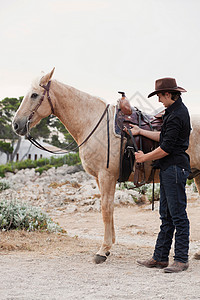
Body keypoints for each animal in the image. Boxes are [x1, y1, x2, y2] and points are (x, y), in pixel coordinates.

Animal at [12, 68, 200, 262]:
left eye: (34, 95)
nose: (16, 125)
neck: (92, 124)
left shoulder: (107, 175)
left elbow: (106, 209)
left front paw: (103, 250)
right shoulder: (98, 178)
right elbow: (107, 207)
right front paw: (109, 245)